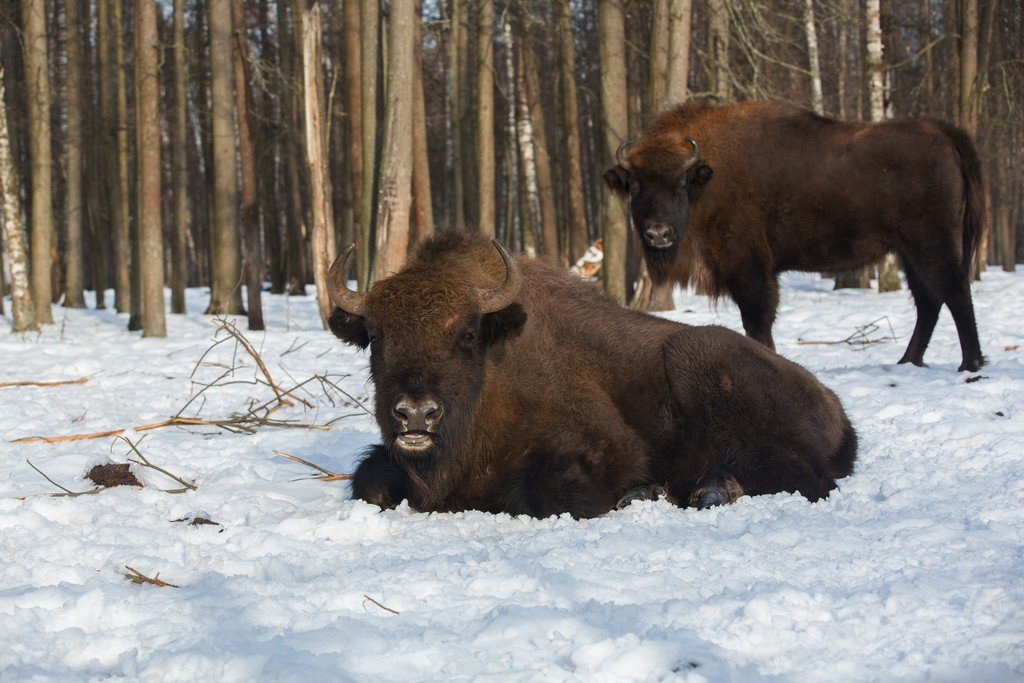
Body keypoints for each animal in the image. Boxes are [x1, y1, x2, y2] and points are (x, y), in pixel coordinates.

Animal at [325, 229, 856, 518]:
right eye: (376, 337)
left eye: (468, 334)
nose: (416, 414)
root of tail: (834, 404)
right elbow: (368, 482)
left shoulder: (603, 446)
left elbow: (548, 492)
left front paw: (641, 492)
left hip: (698, 360)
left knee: (807, 477)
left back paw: (708, 491)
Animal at [602, 100, 987, 374]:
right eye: (634, 186)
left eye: (680, 184)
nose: (658, 233)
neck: (707, 178)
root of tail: (942, 132)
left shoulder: (749, 269)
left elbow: (757, 319)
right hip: (908, 251)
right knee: (928, 300)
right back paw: (909, 361)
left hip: (931, 243)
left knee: (954, 290)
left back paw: (969, 364)